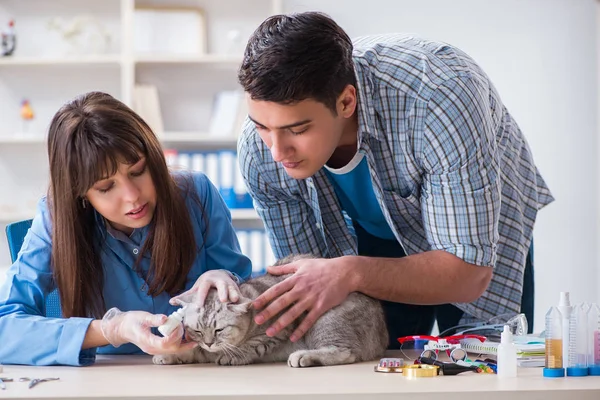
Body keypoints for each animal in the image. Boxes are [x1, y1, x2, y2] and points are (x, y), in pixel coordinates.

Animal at [154, 255, 390, 368]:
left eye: (219, 330)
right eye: (198, 331)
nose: (210, 343)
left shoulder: (277, 331)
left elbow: (251, 346)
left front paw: (231, 356)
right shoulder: (202, 349)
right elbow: (193, 351)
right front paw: (168, 355)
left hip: (324, 318)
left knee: (345, 352)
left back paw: (304, 356)